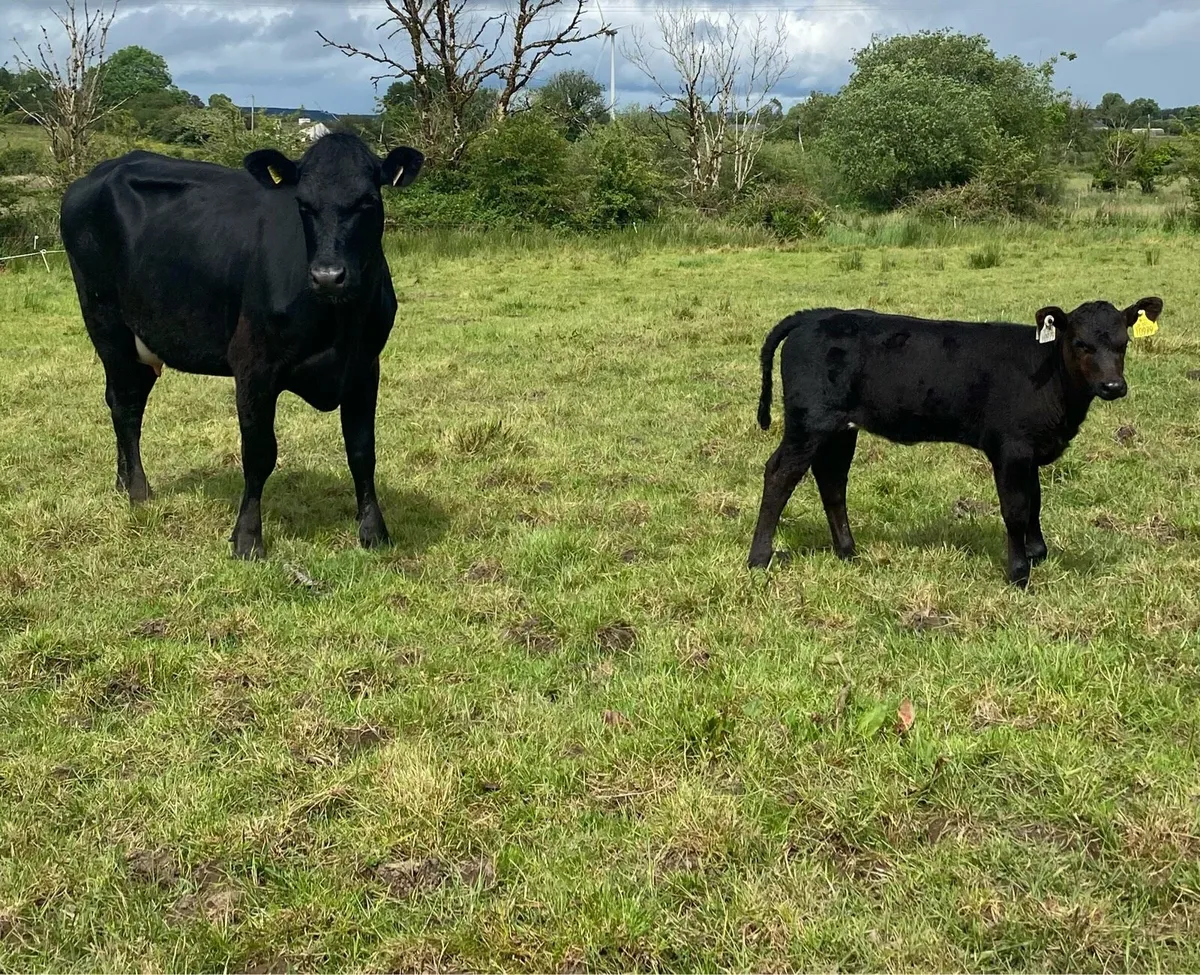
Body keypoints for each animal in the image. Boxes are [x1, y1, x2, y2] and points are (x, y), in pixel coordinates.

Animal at [59, 132, 424, 559]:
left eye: (367, 201)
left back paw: (122, 481)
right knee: (126, 407)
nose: (327, 275)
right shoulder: (253, 365)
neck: (338, 325)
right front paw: (247, 538)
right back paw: (137, 490)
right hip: (107, 324)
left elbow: (362, 450)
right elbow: (260, 453)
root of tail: (99, 172)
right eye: (303, 204)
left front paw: (373, 532)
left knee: (123, 400)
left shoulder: (364, 367)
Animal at [748, 298, 1163, 587]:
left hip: (839, 428)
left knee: (832, 481)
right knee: (780, 474)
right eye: (1080, 343)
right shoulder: (1011, 448)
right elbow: (1016, 509)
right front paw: (1018, 572)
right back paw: (759, 557)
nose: (1113, 386)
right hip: (809, 421)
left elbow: (1035, 502)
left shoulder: (1029, 450)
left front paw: (1037, 553)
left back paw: (848, 552)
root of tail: (815, 315)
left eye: (1124, 343)